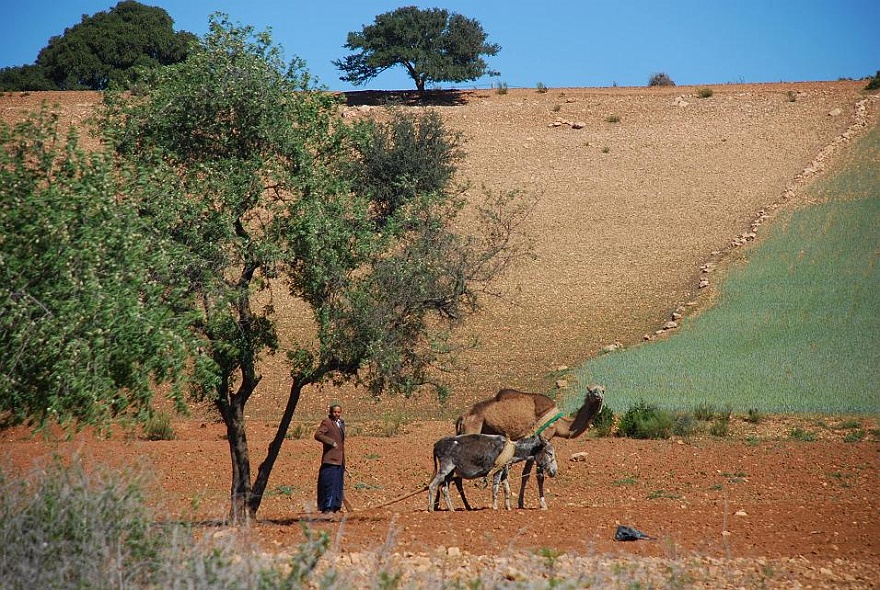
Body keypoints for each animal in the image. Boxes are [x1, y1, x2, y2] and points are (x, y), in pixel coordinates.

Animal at [454, 386, 604, 512]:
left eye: (602, 390)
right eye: (592, 391)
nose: (599, 397)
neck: (559, 425)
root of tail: (462, 418)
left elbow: (525, 474)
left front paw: (520, 503)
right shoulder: (541, 439)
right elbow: (538, 475)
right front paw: (543, 504)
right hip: (472, 429)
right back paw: (466, 506)